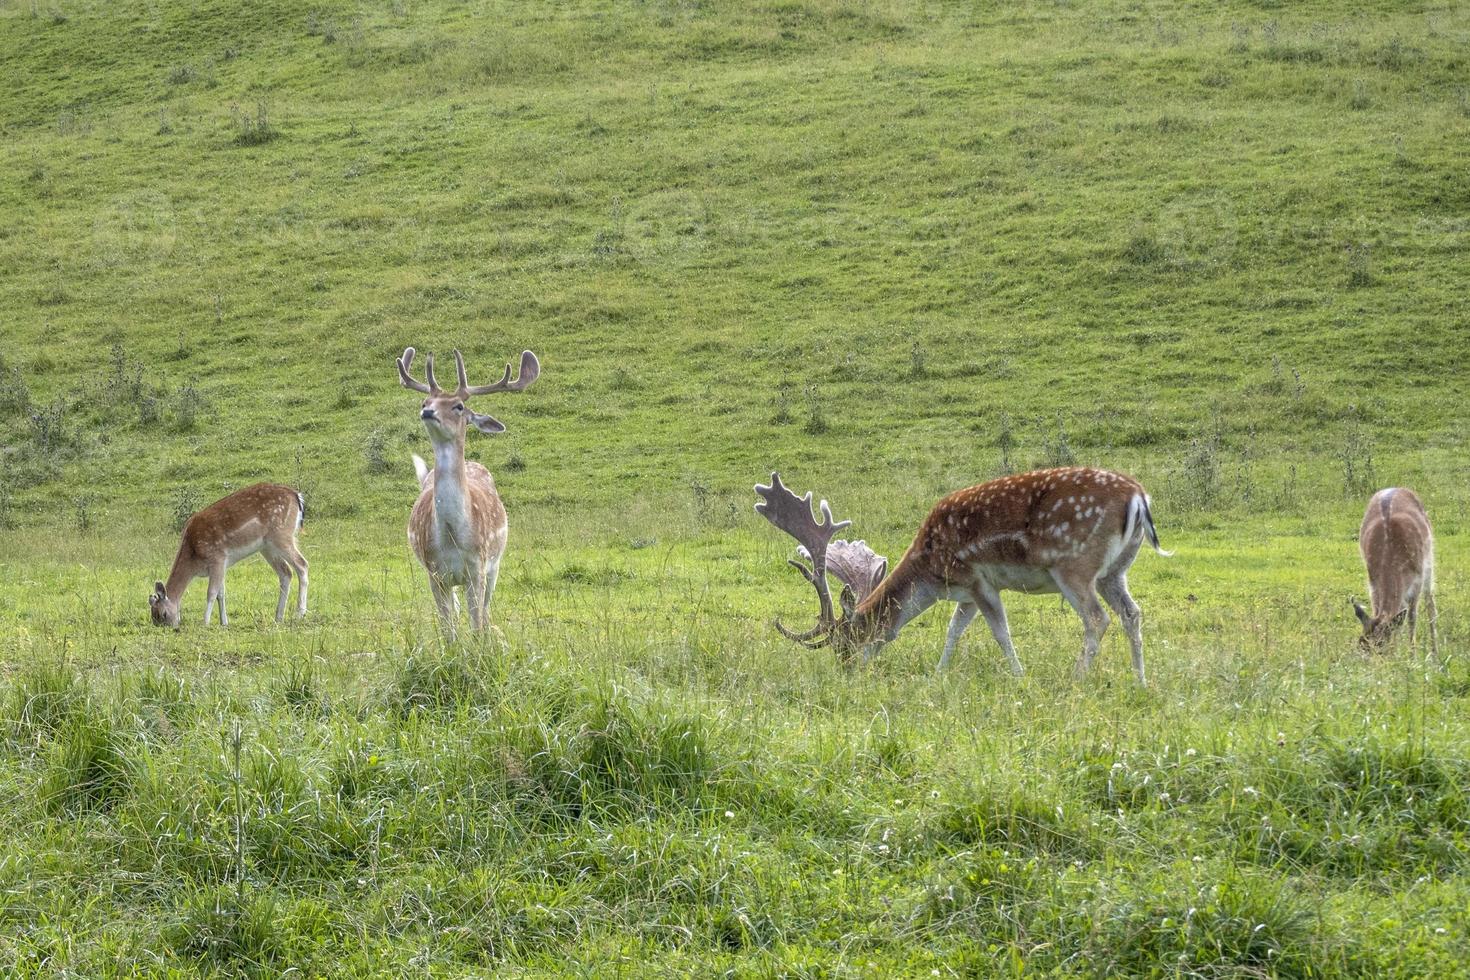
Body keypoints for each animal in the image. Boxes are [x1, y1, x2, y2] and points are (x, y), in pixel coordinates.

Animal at [148, 481, 307, 628]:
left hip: (282, 535)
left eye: (163, 614)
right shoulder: (222, 565)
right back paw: (278, 616)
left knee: (302, 564)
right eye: (154, 619)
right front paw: (224, 622)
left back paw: (300, 614)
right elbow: (221, 593)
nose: (171, 628)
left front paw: (205, 622)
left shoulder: (217, 557)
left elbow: (211, 593)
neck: (194, 557)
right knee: (286, 572)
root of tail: (297, 496)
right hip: (267, 547)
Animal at [396, 345, 540, 637]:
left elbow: (476, 625)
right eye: (425, 402)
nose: (428, 413)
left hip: (495, 564)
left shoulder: (477, 567)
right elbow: (448, 630)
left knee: (485, 611)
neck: (452, 537)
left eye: (459, 406)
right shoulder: (435, 572)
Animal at [758, 470, 1170, 687]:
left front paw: (1019, 677)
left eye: (845, 643)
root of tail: (1139, 498)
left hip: (1075, 566)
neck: (932, 571)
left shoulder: (976, 579)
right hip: (1115, 571)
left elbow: (1001, 632)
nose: (845, 673)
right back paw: (1141, 682)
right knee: (1132, 613)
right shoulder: (966, 594)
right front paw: (939, 675)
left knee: (1097, 619)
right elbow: (953, 630)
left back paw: (1076, 680)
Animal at [1352, 487, 1434, 655]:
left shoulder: (1417, 579)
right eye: (1361, 644)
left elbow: (1412, 618)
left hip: (1429, 556)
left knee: (1430, 602)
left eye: (1381, 645)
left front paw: (1412, 655)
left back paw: (1435, 652)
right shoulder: (1372, 581)